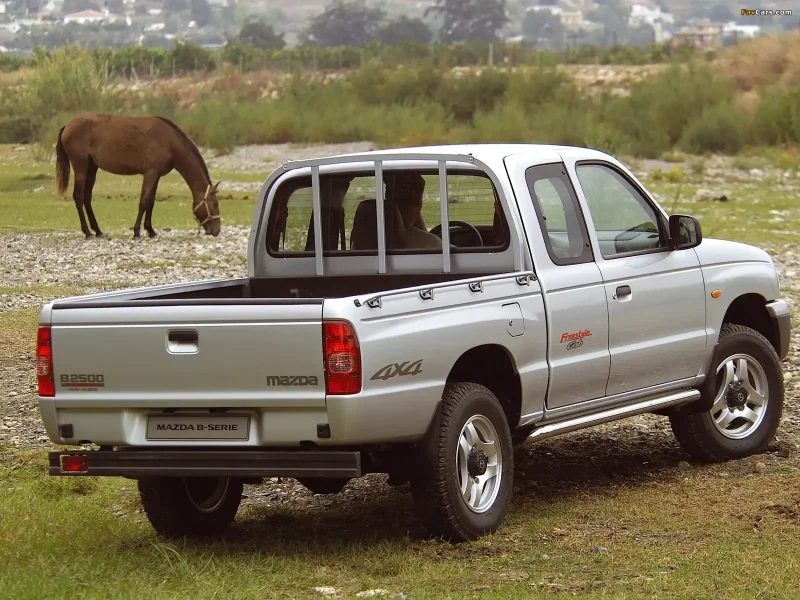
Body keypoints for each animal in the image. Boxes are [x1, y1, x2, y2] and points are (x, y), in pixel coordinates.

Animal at [55, 114, 222, 239]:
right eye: (215, 204)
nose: (217, 230)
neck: (168, 141)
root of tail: (68, 125)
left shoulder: (156, 176)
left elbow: (151, 202)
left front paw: (151, 230)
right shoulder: (150, 173)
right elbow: (143, 201)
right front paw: (136, 232)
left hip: (92, 168)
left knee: (87, 198)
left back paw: (98, 231)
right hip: (81, 167)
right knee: (78, 196)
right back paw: (88, 232)